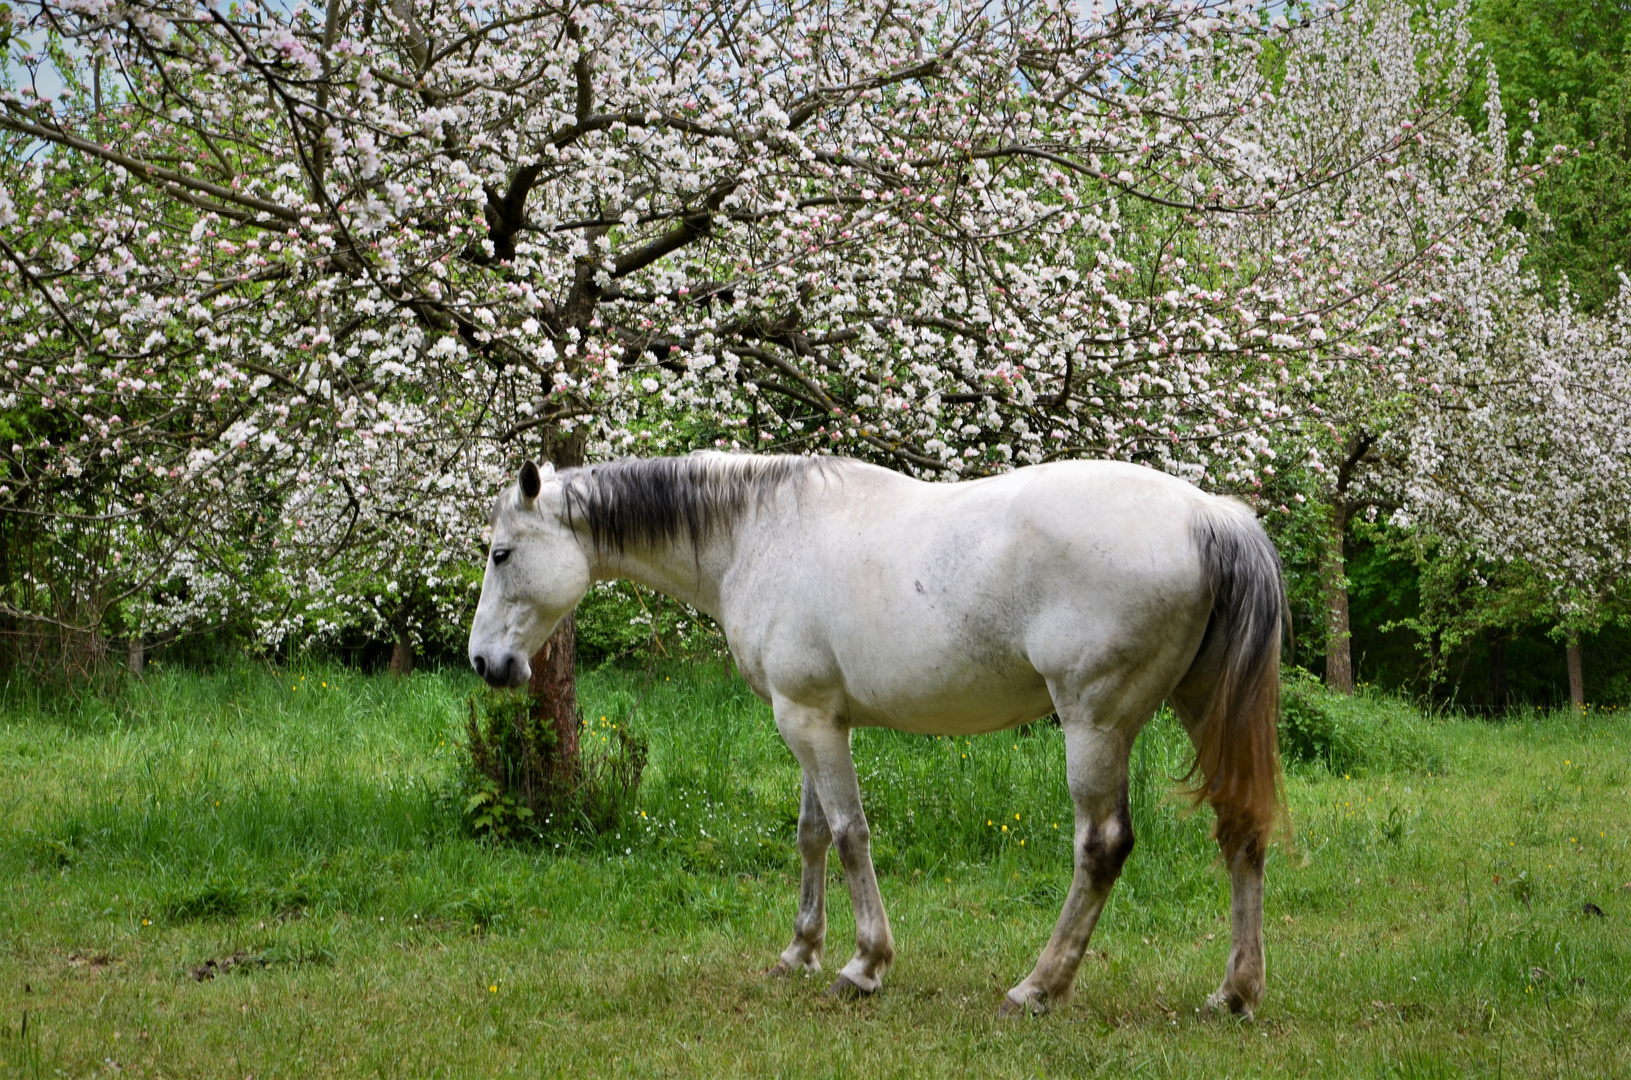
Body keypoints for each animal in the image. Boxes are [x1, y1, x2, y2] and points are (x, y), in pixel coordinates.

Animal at [463, 453, 1285, 1018]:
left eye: (501, 553)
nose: (485, 663)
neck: (758, 531)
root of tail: (1211, 516)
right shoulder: (810, 716)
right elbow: (811, 836)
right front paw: (798, 951)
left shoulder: (806, 720)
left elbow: (849, 834)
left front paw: (864, 965)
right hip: (1200, 708)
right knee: (1241, 832)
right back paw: (1235, 993)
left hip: (1093, 724)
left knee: (1102, 848)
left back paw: (1037, 987)